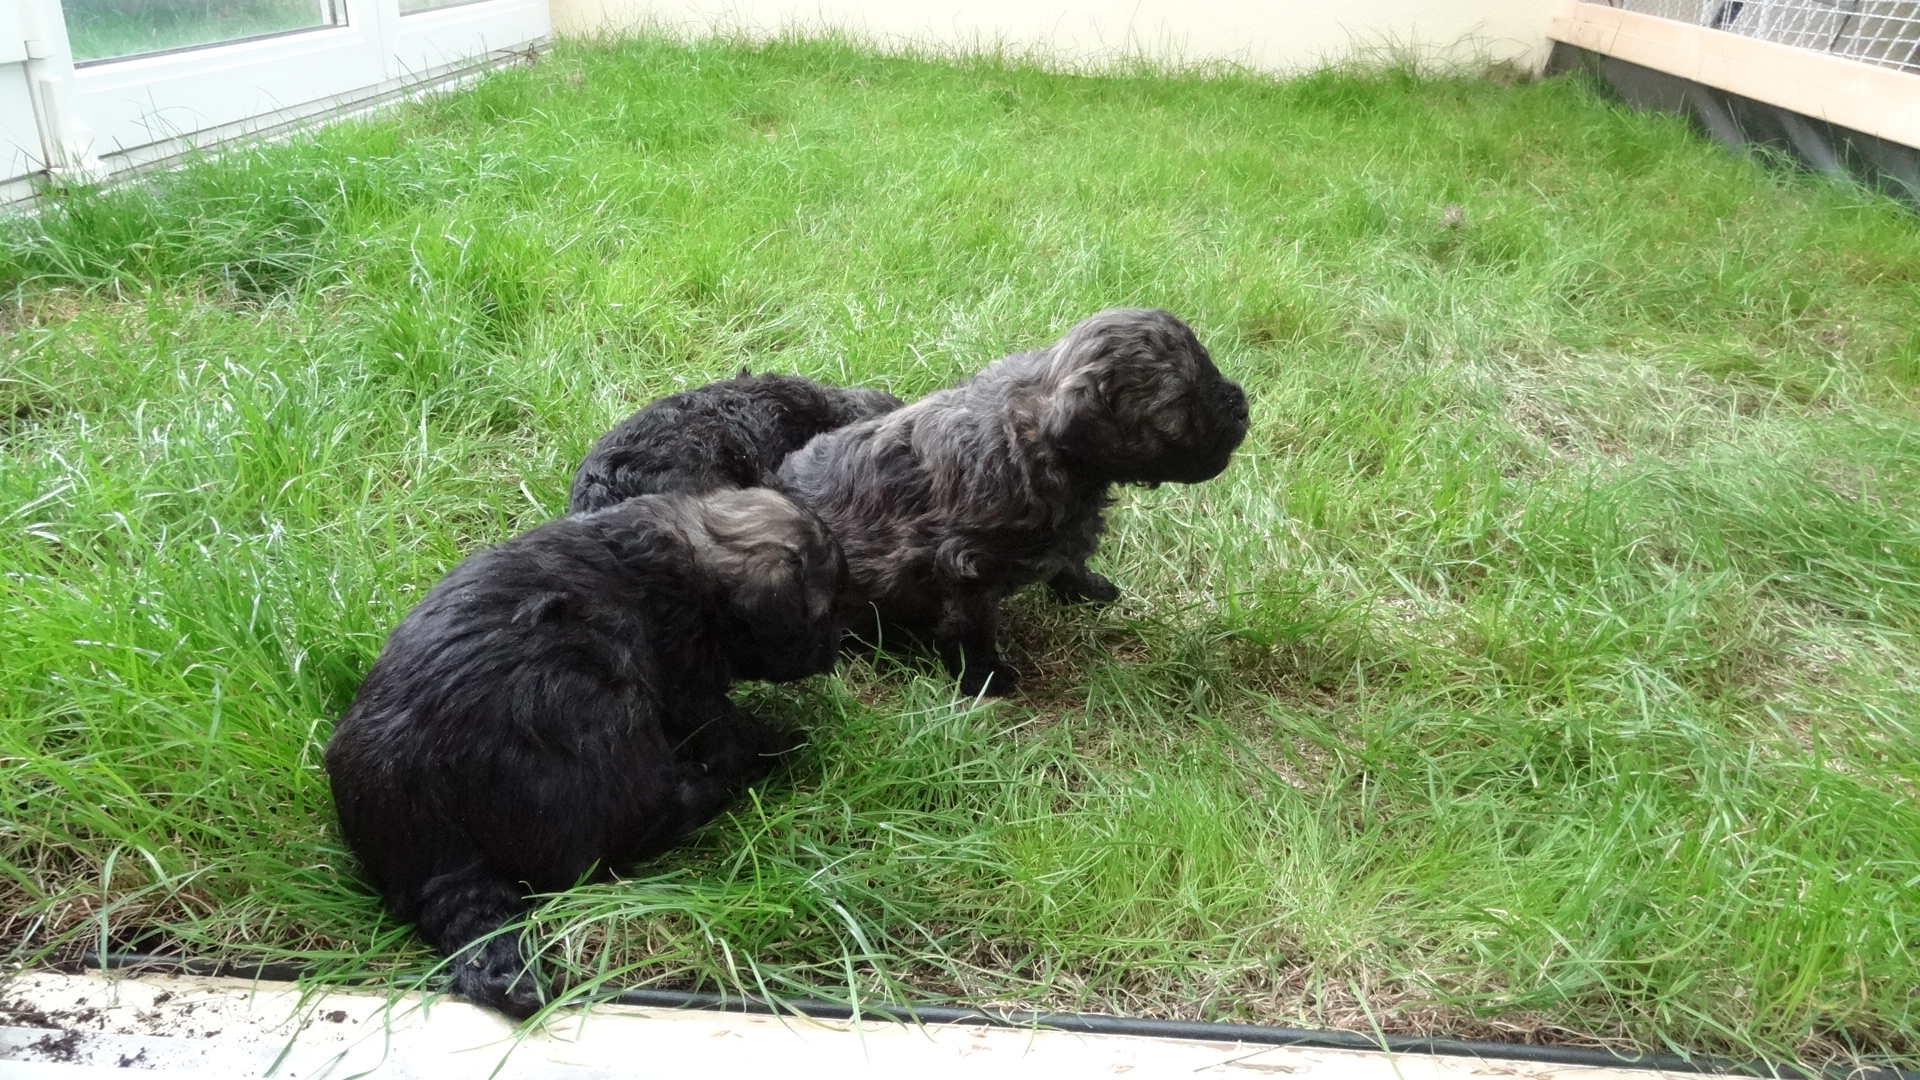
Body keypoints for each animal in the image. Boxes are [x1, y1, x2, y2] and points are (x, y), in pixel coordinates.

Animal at [324, 488, 846, 1018]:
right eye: (823, 612)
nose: (837, 649)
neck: (691, 544)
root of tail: (441, 855)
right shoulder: (688, 678)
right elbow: (725, 724)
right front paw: (774, 737)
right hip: (600, 713)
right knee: (632, 829)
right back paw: (720, 783)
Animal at [777, 308, 1249, 696]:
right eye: (1179, 403)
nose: (1242, 405)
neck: (1038, 443)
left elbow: (1069, 562)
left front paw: (1089, 590)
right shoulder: (964, 566)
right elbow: (972, 629)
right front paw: (985, 679)